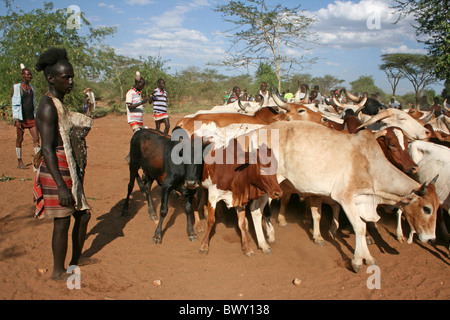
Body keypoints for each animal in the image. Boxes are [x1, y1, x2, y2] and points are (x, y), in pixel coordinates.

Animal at [248, 120, 438, 272]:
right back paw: (264, 244)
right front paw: (357, 261)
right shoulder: (345, 198)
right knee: (255, 210)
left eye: (437, 208)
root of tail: (254, 134)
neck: (370, 166)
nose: (431, 238)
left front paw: (368, 258)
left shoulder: (360, 200)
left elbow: (363, 226)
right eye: (426, 209)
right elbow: (359, 227)